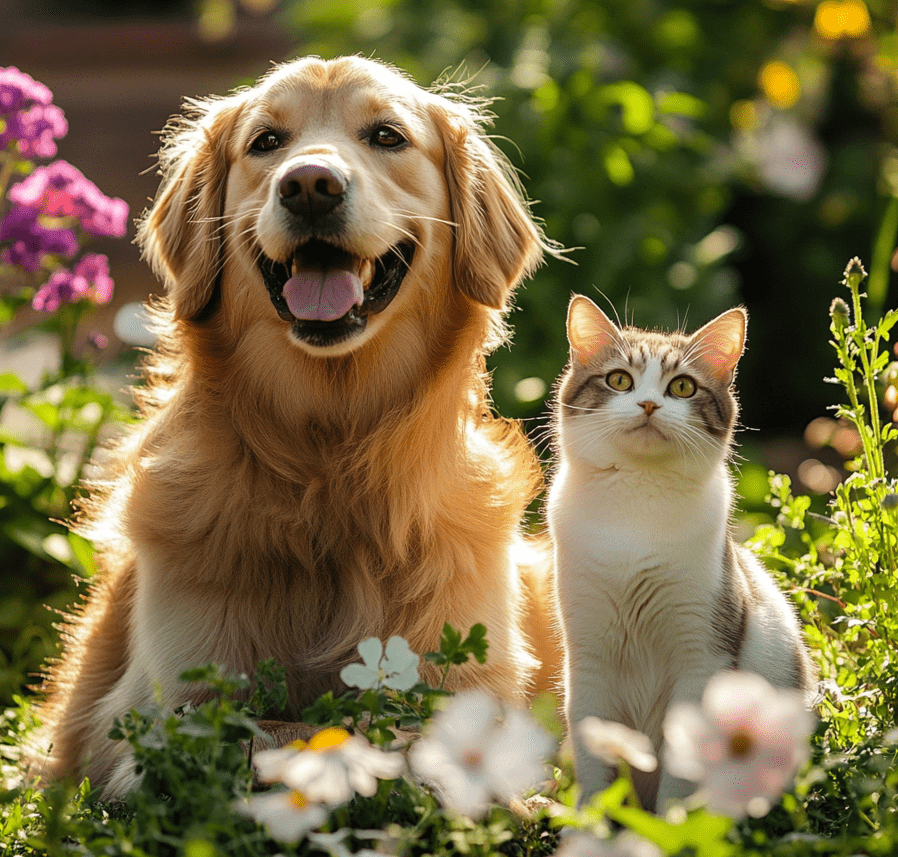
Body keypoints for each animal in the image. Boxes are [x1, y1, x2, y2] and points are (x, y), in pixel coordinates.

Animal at [33, 55, 560, 796]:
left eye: (388, 136)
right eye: (266, 143)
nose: (311, 185)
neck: (329, 460)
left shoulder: (471, 681)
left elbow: (404, 735)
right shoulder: (160, 712)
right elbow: (276, 731)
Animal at [544, 292, 816, 808]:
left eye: (683, 387)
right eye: (619, 380)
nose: (650, 403)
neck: (638, 499)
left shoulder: (701, 657)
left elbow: (680, 771)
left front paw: (671, 821)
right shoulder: (588, 659)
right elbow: (595, 766)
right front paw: (593, 820)